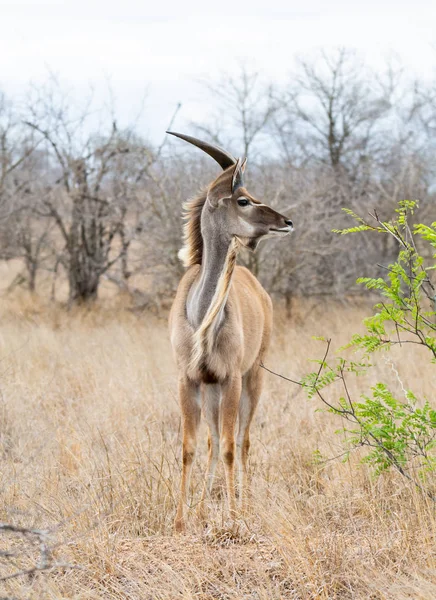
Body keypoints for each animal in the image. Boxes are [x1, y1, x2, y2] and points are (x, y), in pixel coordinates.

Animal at [168, 132, 292, 536]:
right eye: (244, 199)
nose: (287, 221)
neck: (201, 314)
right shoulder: (190, 379)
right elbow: (191, 447)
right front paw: (182, 520)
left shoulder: (233, 377)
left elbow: (229, 446)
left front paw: (235, 518)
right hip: (213, 392)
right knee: (213, 440)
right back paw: (204, 510)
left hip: (253, 378)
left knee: (244, 439)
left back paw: (245, 503)